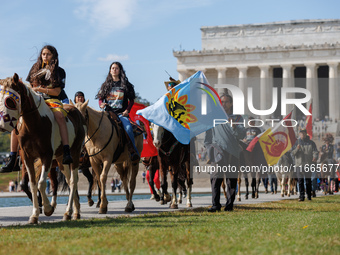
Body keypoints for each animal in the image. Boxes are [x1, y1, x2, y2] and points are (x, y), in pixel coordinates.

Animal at [0, 73, 85, 223]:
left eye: (9, 100)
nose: (1, 125)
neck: (35, 123)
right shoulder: (27, 158)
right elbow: (33, 184)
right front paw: (35, 214)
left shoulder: (47, 156)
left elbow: (41, 184)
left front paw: (48, 208)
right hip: (61, 160)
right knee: (69, 181)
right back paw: (74, 212)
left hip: (74, 154)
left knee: (73, 181)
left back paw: (69, 212)